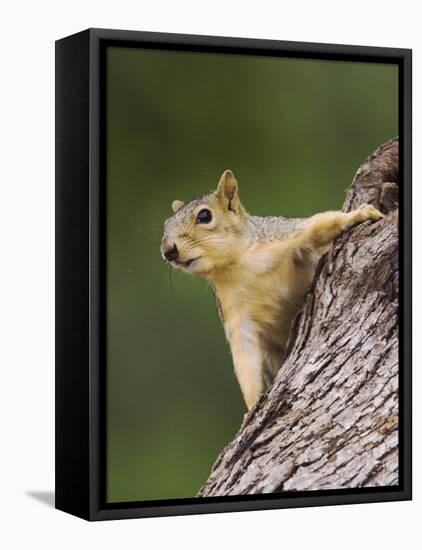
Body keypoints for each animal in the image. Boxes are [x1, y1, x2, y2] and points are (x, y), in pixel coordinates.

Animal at [160, 170, 384, 412]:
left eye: (204, 216)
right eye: (166, 224)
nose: (168, 251)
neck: (238, 266)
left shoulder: (284, 237)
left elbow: (320, 224)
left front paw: (360, 214)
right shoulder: (235, 315)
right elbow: (244, 357)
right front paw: (252, 406)